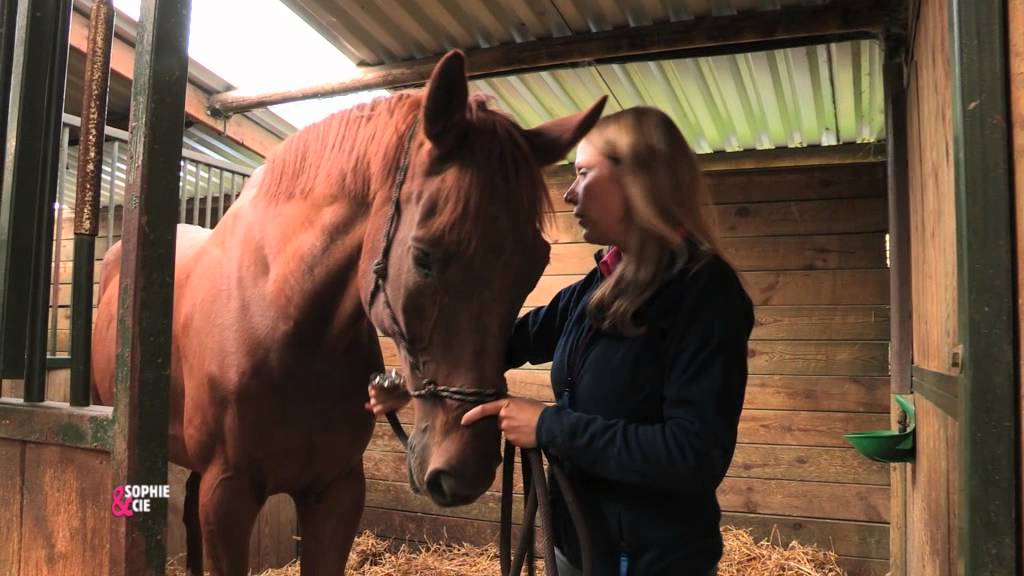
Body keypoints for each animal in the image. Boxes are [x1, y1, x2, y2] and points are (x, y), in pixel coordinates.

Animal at [91, 50, 606, 575]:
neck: (285, 330)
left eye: (535, 264)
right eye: (423, 257)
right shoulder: (228, 493)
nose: (465, 469)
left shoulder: (337, 491)